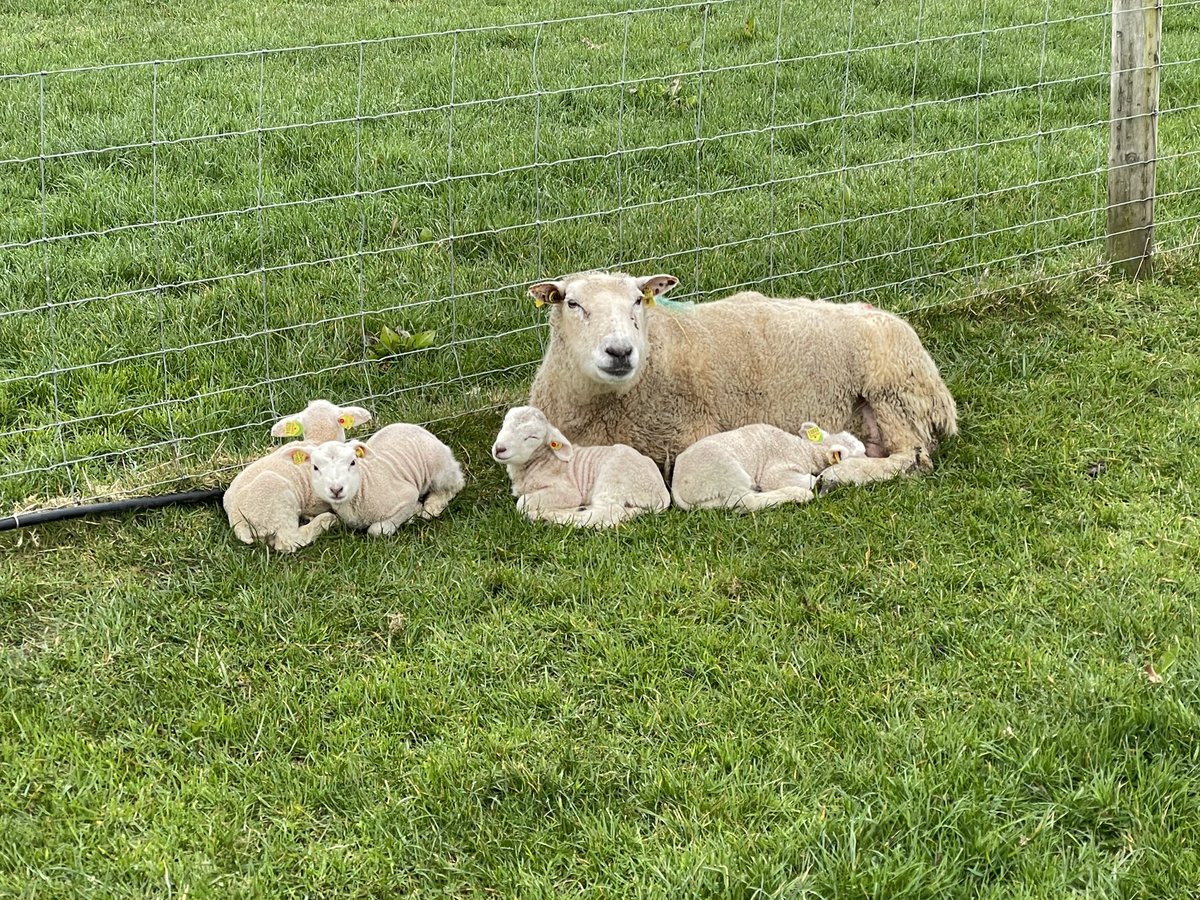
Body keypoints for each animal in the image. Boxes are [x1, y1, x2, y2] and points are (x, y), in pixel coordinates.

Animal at [303, 424, 465, 536]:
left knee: (456, 485)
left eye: (353, 462)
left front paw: (415, 511)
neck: (364, 486)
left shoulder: (407, 496)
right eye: (315, 467)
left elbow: (376, 530)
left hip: (440, 470)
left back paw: (431, 507)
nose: (336, 489)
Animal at [491, 405, 670, 528]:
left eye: (532, 437)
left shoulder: (567, 491)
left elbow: (522, 503)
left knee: (605, 514)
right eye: (504, 424)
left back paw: (549, 516)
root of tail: (662, 494)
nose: (499, 449)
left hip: (613, 479)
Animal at [526, 270, 956, 488]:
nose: (620, 352)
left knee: (914, 456)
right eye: (572, 303)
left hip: (892, 390)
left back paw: (842, 476)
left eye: (637, 300)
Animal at [671, 421, 867, 511]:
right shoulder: (775, 471)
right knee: (744, 501)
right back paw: (799, 495)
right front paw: (818, 482)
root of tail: (677, 486)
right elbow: (808, 480)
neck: (804, 450)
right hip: (725, 472)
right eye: (858, 455)